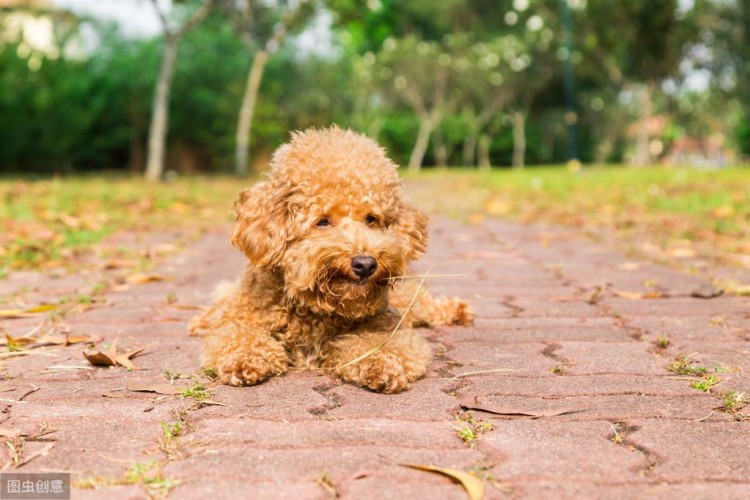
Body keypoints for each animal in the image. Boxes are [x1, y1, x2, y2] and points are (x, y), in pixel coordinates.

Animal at [191, 127, 472, 392]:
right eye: (322, 221)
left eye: (371, 219)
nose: (365, 264)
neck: (313, 307)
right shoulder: (244, 319)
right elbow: (239, 336)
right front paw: (244, 360)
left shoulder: (386, 326)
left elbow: (382, 346)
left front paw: (381, 364)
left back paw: (456, 310)